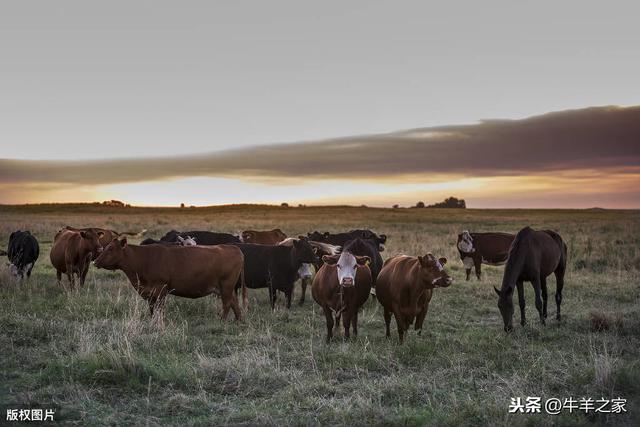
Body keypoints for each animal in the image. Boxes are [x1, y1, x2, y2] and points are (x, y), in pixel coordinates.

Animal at [94, 237, 246, 320]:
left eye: (110, 248)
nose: (95, 261)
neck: (144, 260)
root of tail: (233, 248)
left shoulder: (161, 289)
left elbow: (159, 309)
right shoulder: (150, 293)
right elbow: (152, 309)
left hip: (226, 285)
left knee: (227, 303)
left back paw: (222, 321)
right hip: (226, 288)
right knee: (234, 302)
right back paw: (238, 321)